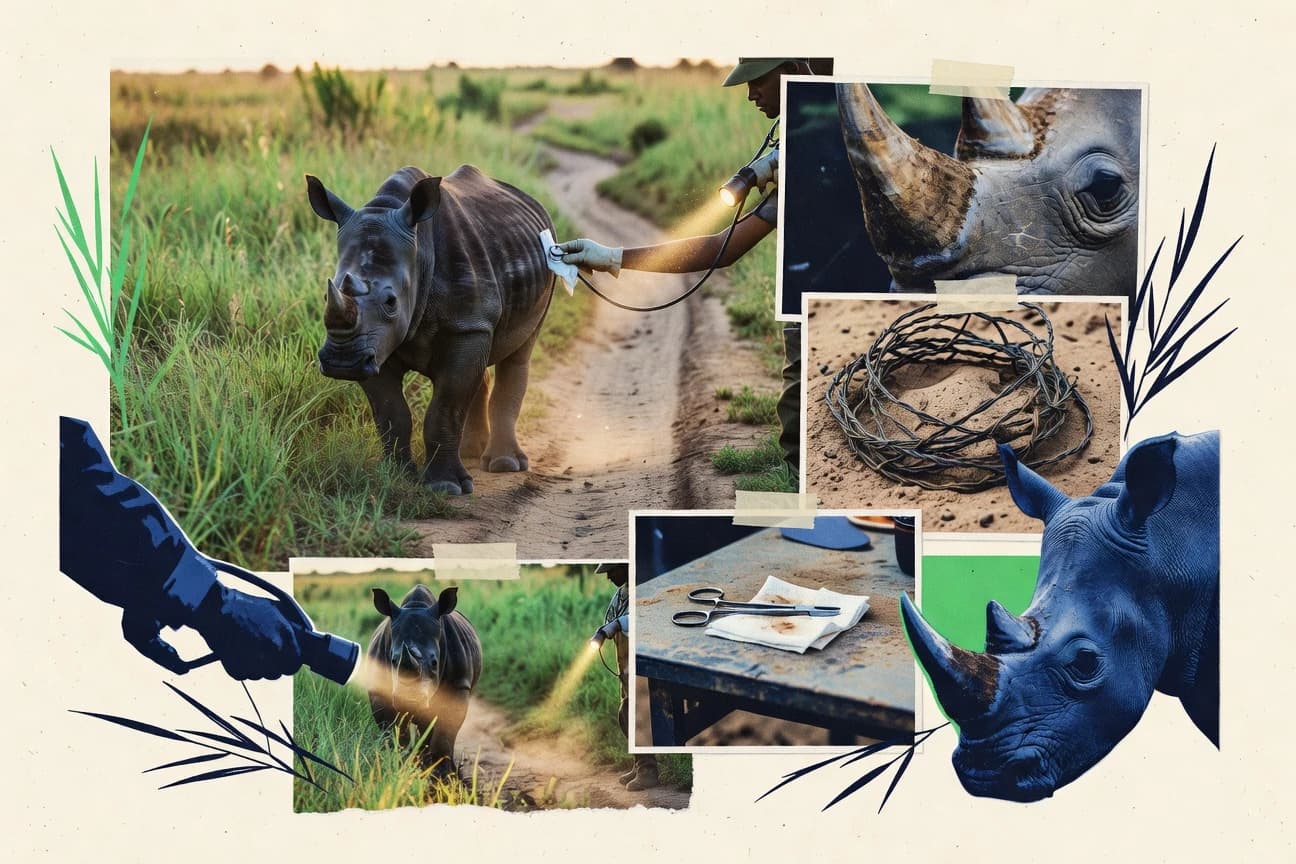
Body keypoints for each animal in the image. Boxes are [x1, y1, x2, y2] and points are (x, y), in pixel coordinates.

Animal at [306, 165, 554, 494]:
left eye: (391, 302)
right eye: (326, 296)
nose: (342, 362)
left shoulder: (464, 326)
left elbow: (446, 406)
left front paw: (446, 487)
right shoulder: (374, 344)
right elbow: (391, 411)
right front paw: (397, 476)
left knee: (518, 354)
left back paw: (504, 464)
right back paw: (471, 454)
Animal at [368, 585, 482, 773]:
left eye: (435, 663)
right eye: (393, 660)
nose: (410, 701)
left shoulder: (458, 685)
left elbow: (445, 730)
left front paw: (443, 774)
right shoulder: (379, 688)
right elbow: (392, 729)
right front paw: (398, 763)